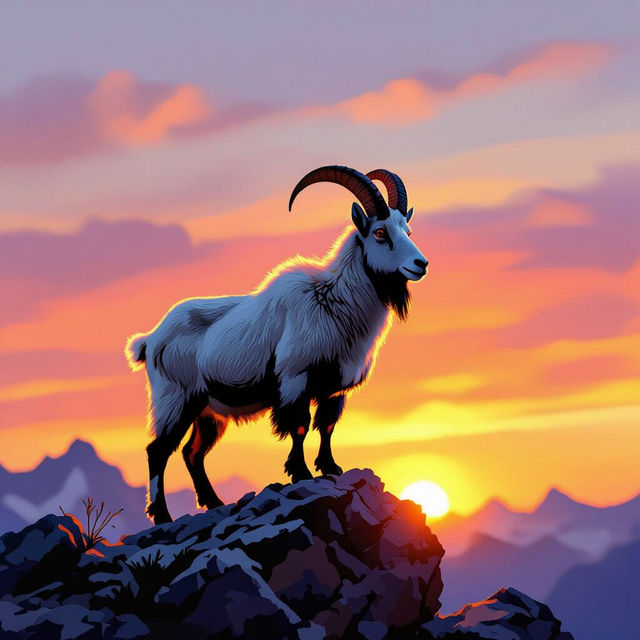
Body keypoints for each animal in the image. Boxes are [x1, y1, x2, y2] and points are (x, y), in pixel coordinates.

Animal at [126, 166, 428, 524]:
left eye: (407, 229)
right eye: (380, 232)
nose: (421, 264)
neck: (331, 300)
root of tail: (150, 340)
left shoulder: (334, 388)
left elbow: (326, 426)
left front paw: (331, 467)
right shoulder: (294, 378)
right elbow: (298, 426)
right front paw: (300, 473)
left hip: (207, 409)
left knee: (192, 452)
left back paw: (214, 502)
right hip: (175, 399)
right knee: (158, 450)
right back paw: (162, 515)